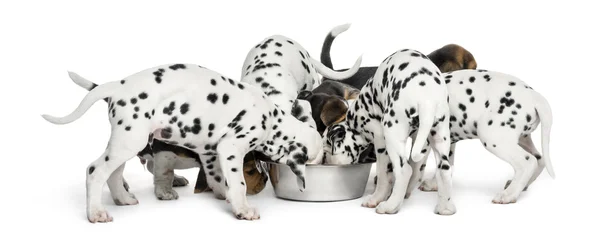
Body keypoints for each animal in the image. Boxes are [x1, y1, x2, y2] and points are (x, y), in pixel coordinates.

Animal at [41, 63, 324, 222]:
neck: (271, 118)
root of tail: (118, 85)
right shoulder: (231, 148)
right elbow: (238, 183)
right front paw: (242, 209)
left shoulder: (212, 152)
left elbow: (217, 178)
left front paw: (224, 196)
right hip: (130, 141)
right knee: (95, 171)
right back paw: (96, 214)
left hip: (126, 141)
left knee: (112, 173)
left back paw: (122, 198)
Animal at [322, 49, 452, 216]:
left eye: (326, 152)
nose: (325, 162)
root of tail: (426, 100)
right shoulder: (422, 141)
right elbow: (415, 170)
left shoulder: (380, 140)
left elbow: (385, 174)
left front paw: (377, 197)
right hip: (440, 138)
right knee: (444, 170)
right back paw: (446, 208)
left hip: (392, 135)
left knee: (404, 171)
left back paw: (390, 206)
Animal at [412, 69, 556, 204]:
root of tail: (534, 95)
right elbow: (445, 166)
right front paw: (434, 184)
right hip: (521, 139)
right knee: (539, 159)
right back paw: (519, 186)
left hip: (493, 137)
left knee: (528, 162)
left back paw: (508, 194)